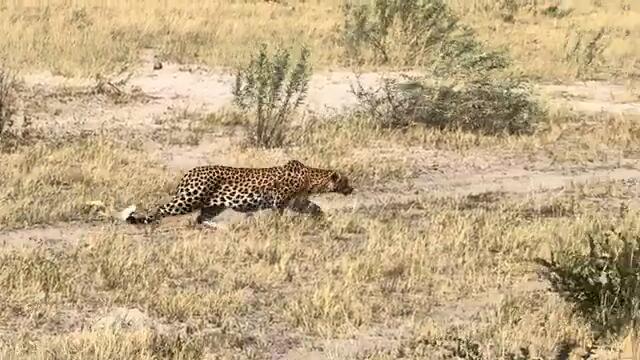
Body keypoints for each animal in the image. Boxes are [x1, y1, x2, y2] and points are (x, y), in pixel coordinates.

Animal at [124, 160, 356, 225]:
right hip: (190, 198)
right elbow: (278, 215)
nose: (352, 188)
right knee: (162, 207)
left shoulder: (297, 201)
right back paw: (151, 221)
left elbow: (314, 207)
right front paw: (278, 227)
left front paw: (323, 219)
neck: (310, 178)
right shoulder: (279, 200)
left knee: (201, 218)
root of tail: (190, 172)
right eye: (345, 181)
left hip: (213, 205)